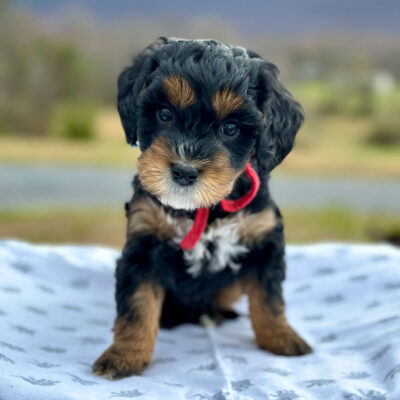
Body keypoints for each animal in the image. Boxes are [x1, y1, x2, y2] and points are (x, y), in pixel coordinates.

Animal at [94, 36, 312, 378]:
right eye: (165, 114)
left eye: (230, 129)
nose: (184, 171)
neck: (204, 209)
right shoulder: (144, 244)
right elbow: (137, 306)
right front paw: (124, 356)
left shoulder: (264, 238)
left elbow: (269, 299)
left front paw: (282, 338)